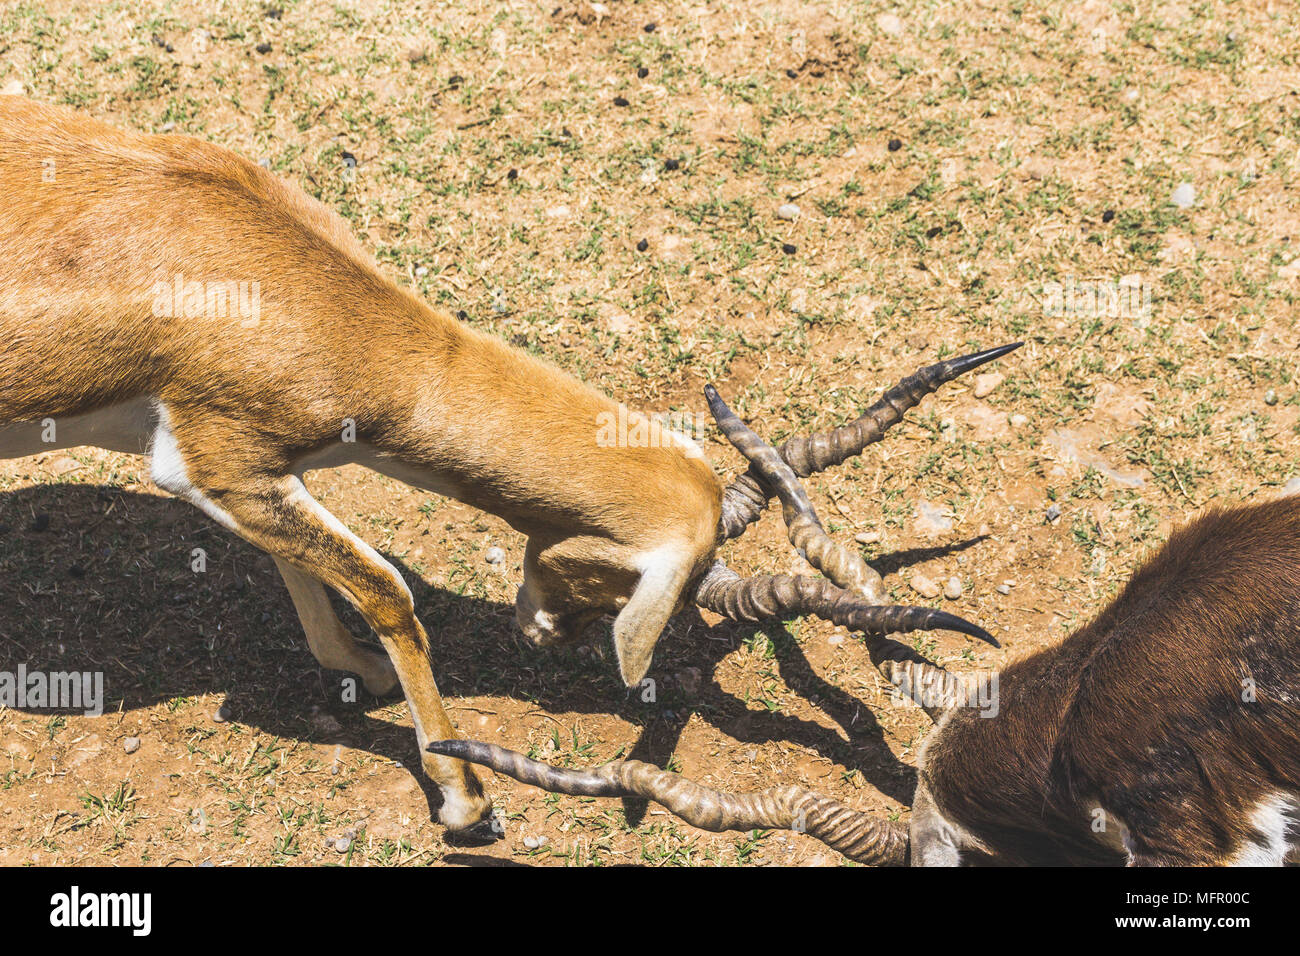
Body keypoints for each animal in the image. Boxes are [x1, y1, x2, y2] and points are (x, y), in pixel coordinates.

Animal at [0, 95, 1010, 835]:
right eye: (637, 588)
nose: (549, 635)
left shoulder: (250, 473)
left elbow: (305, 566)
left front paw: (352, 669)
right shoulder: (214, 462)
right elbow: (388, 588)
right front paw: (465, 802)